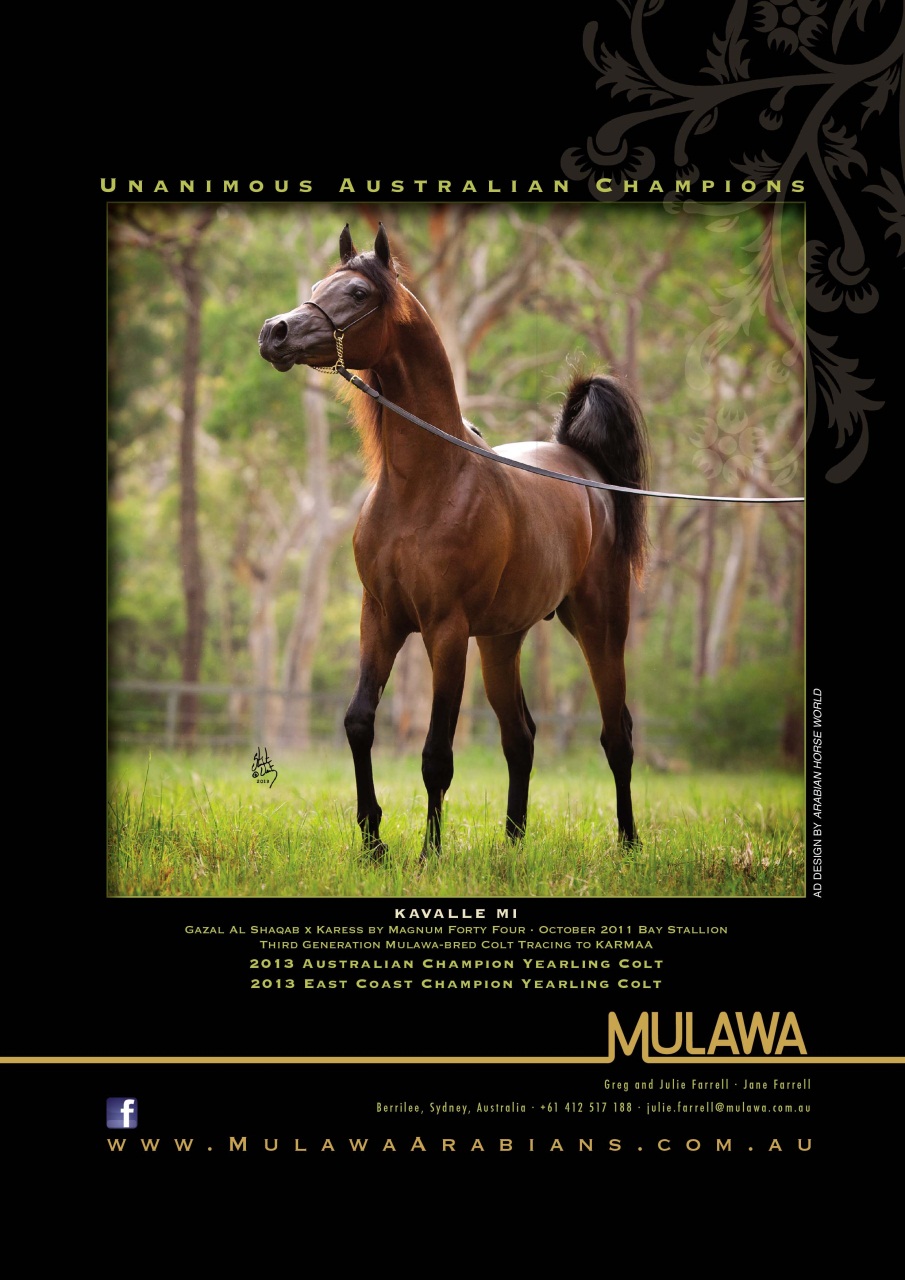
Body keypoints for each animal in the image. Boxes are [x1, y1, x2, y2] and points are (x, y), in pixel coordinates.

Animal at [258, 223, 650, 860]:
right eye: (317, 286)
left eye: (358, 292)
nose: (275, 333)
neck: (427, 484)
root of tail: (583, 463)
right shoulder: (381, 618)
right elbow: (358, 722)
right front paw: (373, 841)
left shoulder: (445, 631)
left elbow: (436, 754)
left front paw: (428, 854)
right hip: (501, 640)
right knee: (522, 737)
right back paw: (512, 843)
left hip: (598, 624)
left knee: (617, 735)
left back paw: (630, 843)